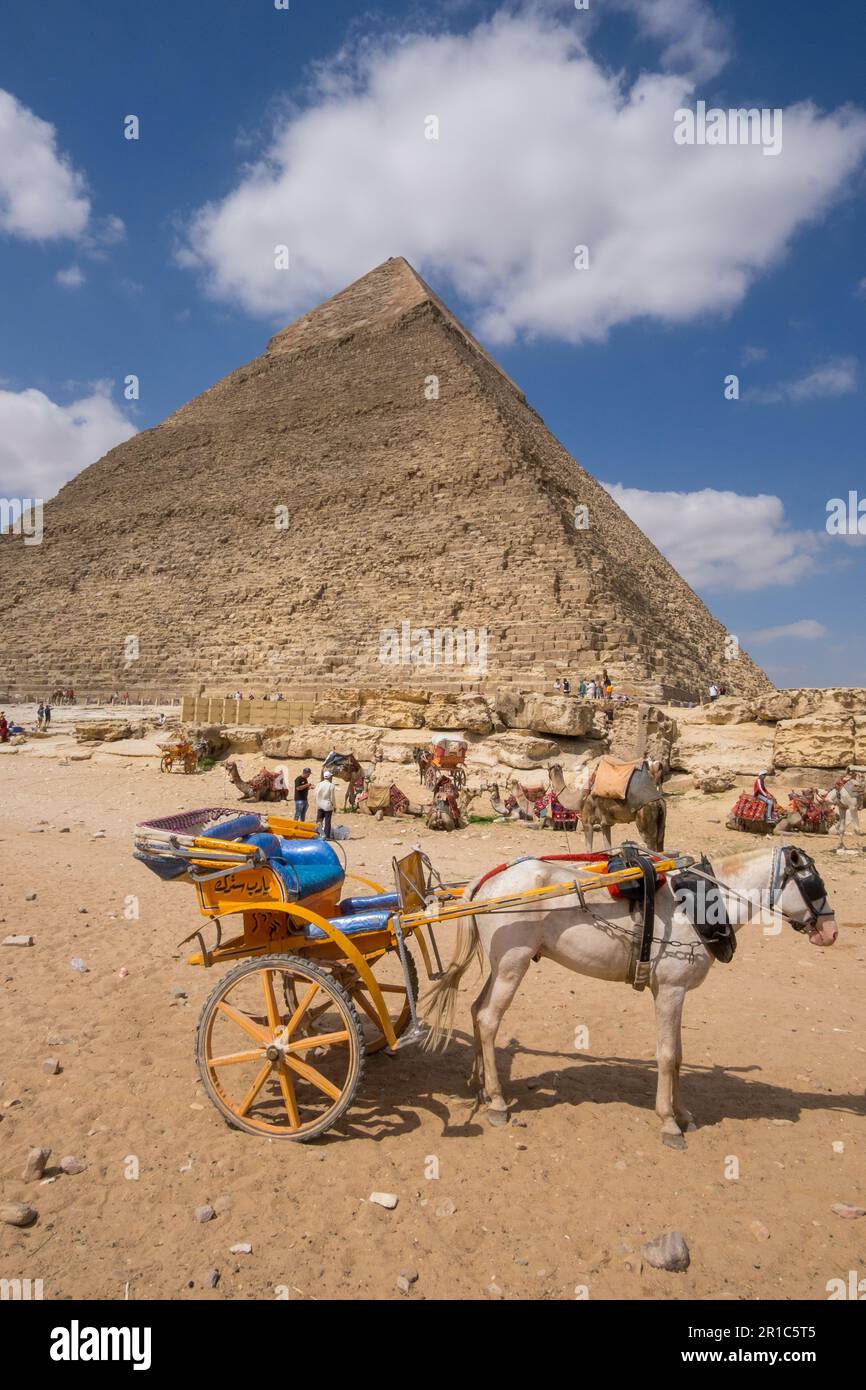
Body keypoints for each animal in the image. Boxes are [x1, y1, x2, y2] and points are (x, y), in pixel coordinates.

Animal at [422, 839, 839, 1145]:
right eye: (815, 883)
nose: (831, 932)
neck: (702, 902)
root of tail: (486, 882)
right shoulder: (669, 989)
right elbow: (667, 1056)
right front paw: (669, 1122)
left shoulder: (677, 991)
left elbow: (680, 1055)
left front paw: (683, 1113)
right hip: (513, 964)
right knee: (489, 1019)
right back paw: (496, 1101)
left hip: (501, 965)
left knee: (476, 1010)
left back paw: (479, 1084)